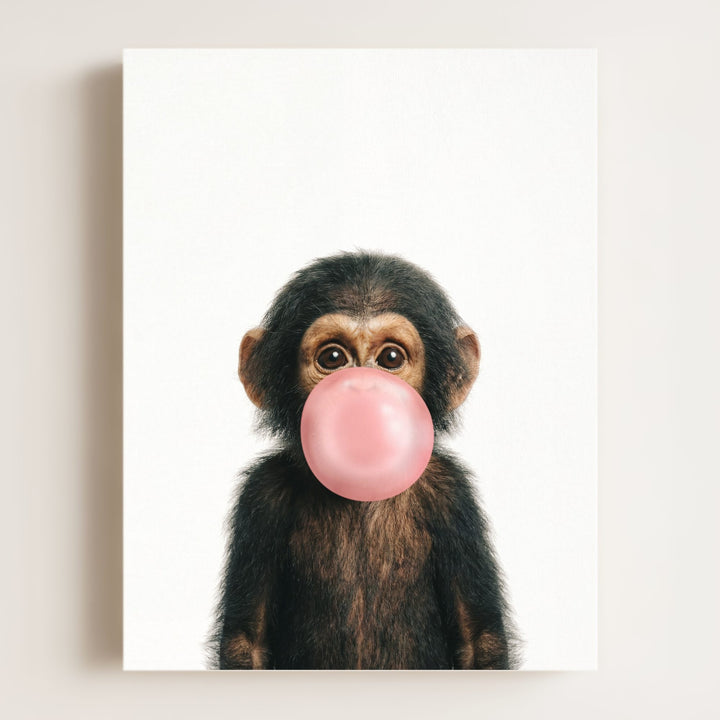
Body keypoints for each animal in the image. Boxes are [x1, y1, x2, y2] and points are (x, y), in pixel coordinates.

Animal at [210, 251, 520, 670]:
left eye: (390, 357)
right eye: (332, 357)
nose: (361, 390)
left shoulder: (452, 494)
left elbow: (479, 640)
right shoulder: (261, 495)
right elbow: (246, 641)